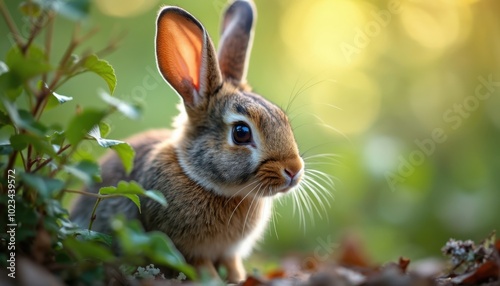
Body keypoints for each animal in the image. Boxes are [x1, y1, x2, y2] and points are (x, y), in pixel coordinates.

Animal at [71, 0, 304, 282]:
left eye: (282, 118)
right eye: (241, 133)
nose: (294, 170)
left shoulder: (230, 253)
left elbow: (233, 265)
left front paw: (238, 279)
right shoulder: (185, 250)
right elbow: (201, 267)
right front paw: (215, 281)